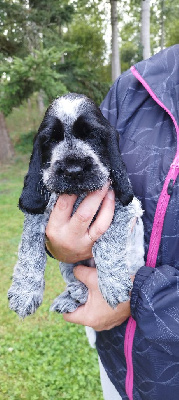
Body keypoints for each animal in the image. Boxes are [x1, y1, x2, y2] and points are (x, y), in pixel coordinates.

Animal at [7, 92, 144, 318]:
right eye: (51, 140)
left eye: (93, 136)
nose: (73, 170)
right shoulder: (37, 216)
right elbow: (30, 248)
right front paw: (24, 291)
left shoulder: (127, 208)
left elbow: (106, 241)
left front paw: (113, 282)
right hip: (67, 264)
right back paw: (73, 295)